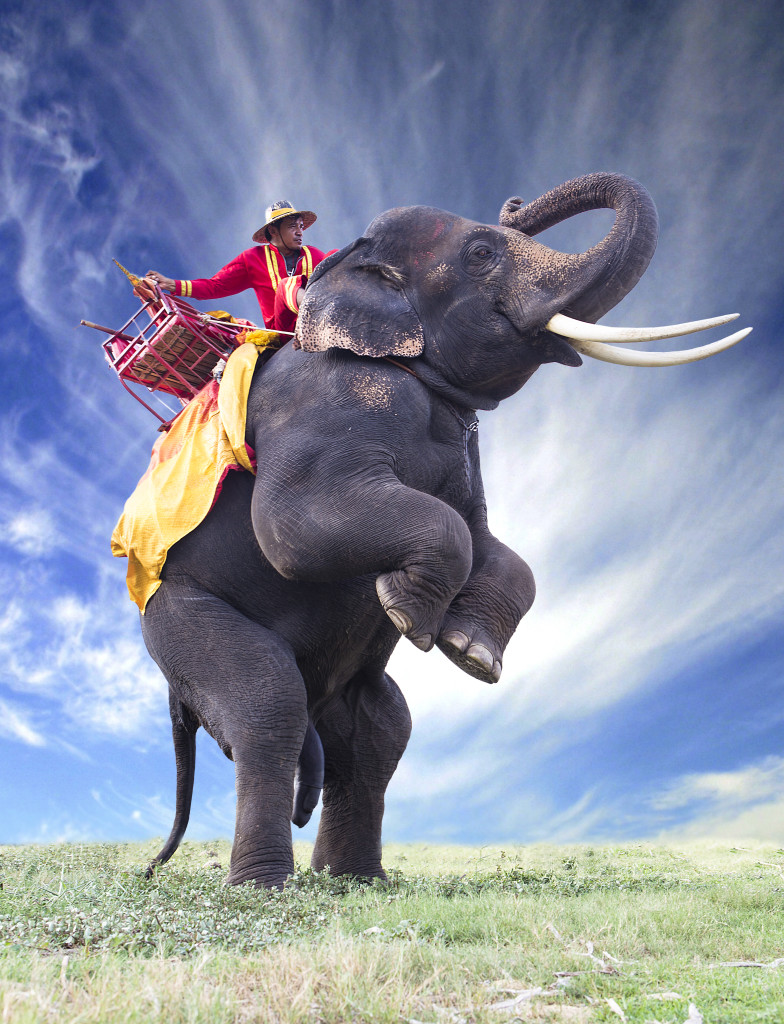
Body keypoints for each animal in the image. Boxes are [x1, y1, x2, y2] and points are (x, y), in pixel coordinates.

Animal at [138, 172, 749, 888]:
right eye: (482, 253)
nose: (515, 201)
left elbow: (492, 544)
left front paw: (470, 654)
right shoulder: (319, 400)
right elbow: (291, 528)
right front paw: (411, 617)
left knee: (380, 729)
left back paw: (355, 883)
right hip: (175, 616)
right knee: (270, 705)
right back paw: (264, 888)